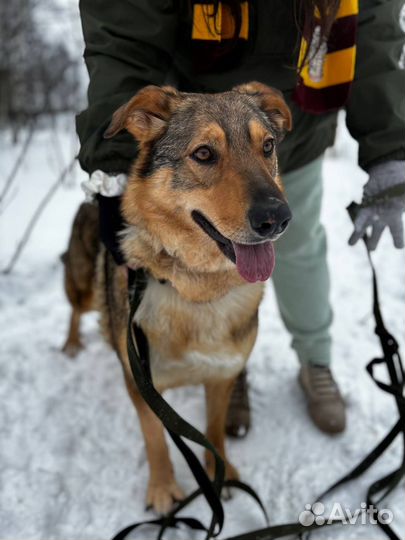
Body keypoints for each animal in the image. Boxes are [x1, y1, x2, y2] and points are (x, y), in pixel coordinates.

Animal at [62, 82, 290, 512]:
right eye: (203, 154)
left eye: (267, 146)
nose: (277, 218)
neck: (196, 290)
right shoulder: (142, 384)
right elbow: (156, 440)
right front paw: (164, 489)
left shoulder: (222, 376)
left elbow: (214, 431)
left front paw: (221, 474)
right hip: (81, 286)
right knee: (76, 310)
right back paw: (70, 344)